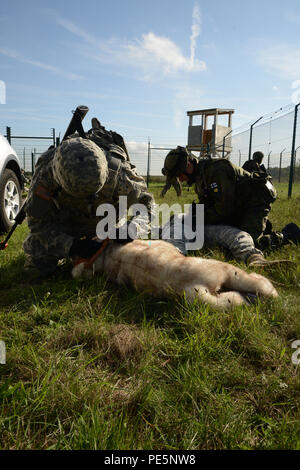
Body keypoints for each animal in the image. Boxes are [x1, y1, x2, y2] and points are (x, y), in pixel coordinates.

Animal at [71, 239, 278, 308]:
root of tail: (194, 284)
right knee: (253, 285)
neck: (107, 254)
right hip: (226, 270)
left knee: (232, 299)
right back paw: (268, 294)